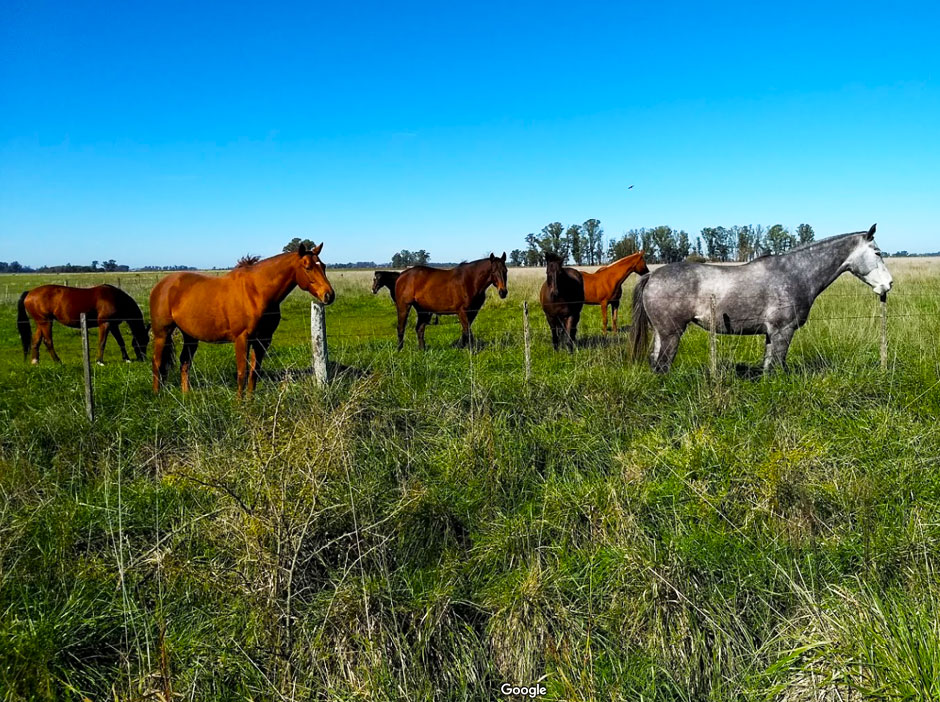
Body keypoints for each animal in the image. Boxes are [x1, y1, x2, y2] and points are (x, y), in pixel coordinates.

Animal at [17, 284, 151, 366]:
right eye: (143, 341)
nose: (143, 358)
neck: (116, 298)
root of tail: (29, 293)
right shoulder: (105, 323)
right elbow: (102, 342)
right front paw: (99, 361)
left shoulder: (113, 325)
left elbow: (120, 341)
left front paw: (127, 359)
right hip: (46, 322)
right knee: (48, 341)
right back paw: (58, 361)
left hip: (41, 322)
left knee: (36, 341)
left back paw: (35, 361)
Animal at [149, 243, 336, 396]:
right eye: (308, 267)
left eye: (323, 266)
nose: (329, 295)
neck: (256, 292)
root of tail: (162, 285)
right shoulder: (242, 338)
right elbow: (242, 373)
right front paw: (240, 404)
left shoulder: (262, 340)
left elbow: (254, 372)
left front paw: (250, 401)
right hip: (161, 334)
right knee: (157, 362)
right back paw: (157, 394)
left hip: (190, 336)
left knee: (185, 362)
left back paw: (185, 394)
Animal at [632, 226, 888, 374]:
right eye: (877, 252)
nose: (888, 284)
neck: (795, 273)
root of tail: (652, 275)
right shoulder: (783, 331)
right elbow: (778, 366)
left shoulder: (771, 333)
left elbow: (768, 367)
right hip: (671, 333)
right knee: (662, 365)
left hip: (661, 333)